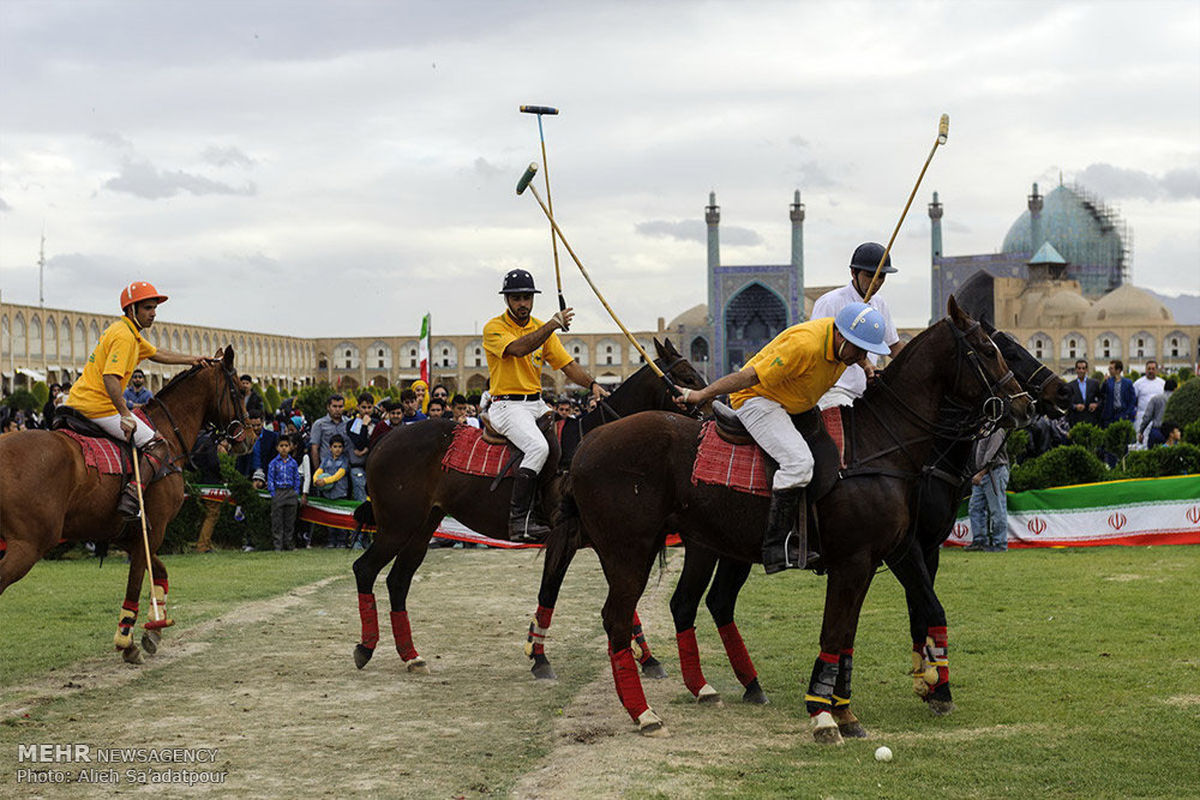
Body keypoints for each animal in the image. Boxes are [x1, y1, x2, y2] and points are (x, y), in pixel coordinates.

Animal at [0, 350, 253, 662]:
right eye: (240, 390)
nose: (250, 437)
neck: (168, 433)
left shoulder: (131, 535)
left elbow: (160, 572)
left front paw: (154, 630)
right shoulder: (152, 530)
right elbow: (135, 582)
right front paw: (127, 639)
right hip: (28, 545)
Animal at [348, 338, 705, 676]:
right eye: (687, 377)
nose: (712, 413)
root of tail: (383, 442)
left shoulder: (606, 540)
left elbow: (625, 602)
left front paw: (649, 659)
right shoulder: (565, 537)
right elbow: (549, 592)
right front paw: (539, 657)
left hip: (422, 526)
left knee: (398, 580)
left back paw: (411, 656)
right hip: (397, 525)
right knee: (365, 569)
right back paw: (366, 648)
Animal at [552, 298, 1032, 738]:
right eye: (990, 350)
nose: (1024, 406)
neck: (881, 445)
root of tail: (585, 446)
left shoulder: (881, 557)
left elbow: (862, 631)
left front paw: (852, 709)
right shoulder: (855, 561)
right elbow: (835, 632)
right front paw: (823, 714)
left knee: (682, 604)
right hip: (628, 549)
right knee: (617, 618)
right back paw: (644, 712)